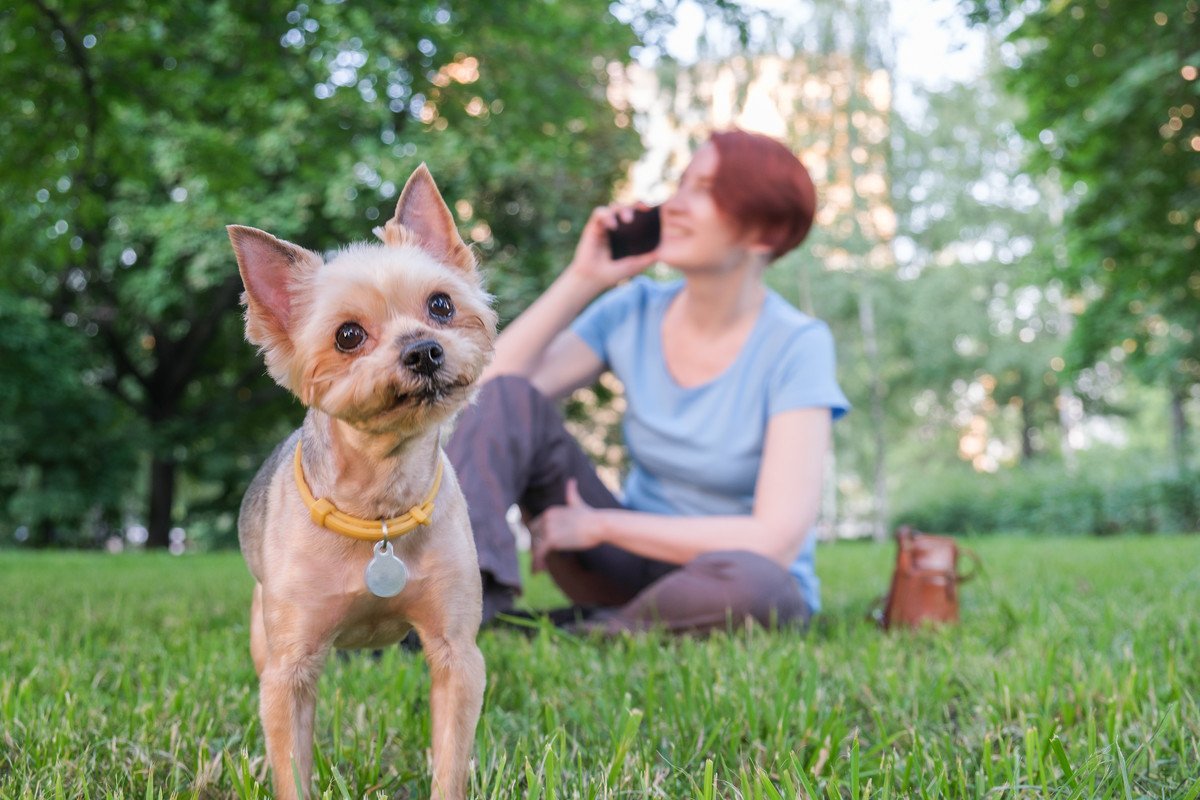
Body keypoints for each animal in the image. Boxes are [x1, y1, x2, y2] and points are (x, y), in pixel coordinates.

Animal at [226, 164, 494, 800]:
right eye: (348, 335)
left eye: (441, 304)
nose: (424, 350)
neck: (379, 508)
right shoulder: (290, 669)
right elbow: (291, 768)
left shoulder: (456, 655)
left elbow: (451, 759)